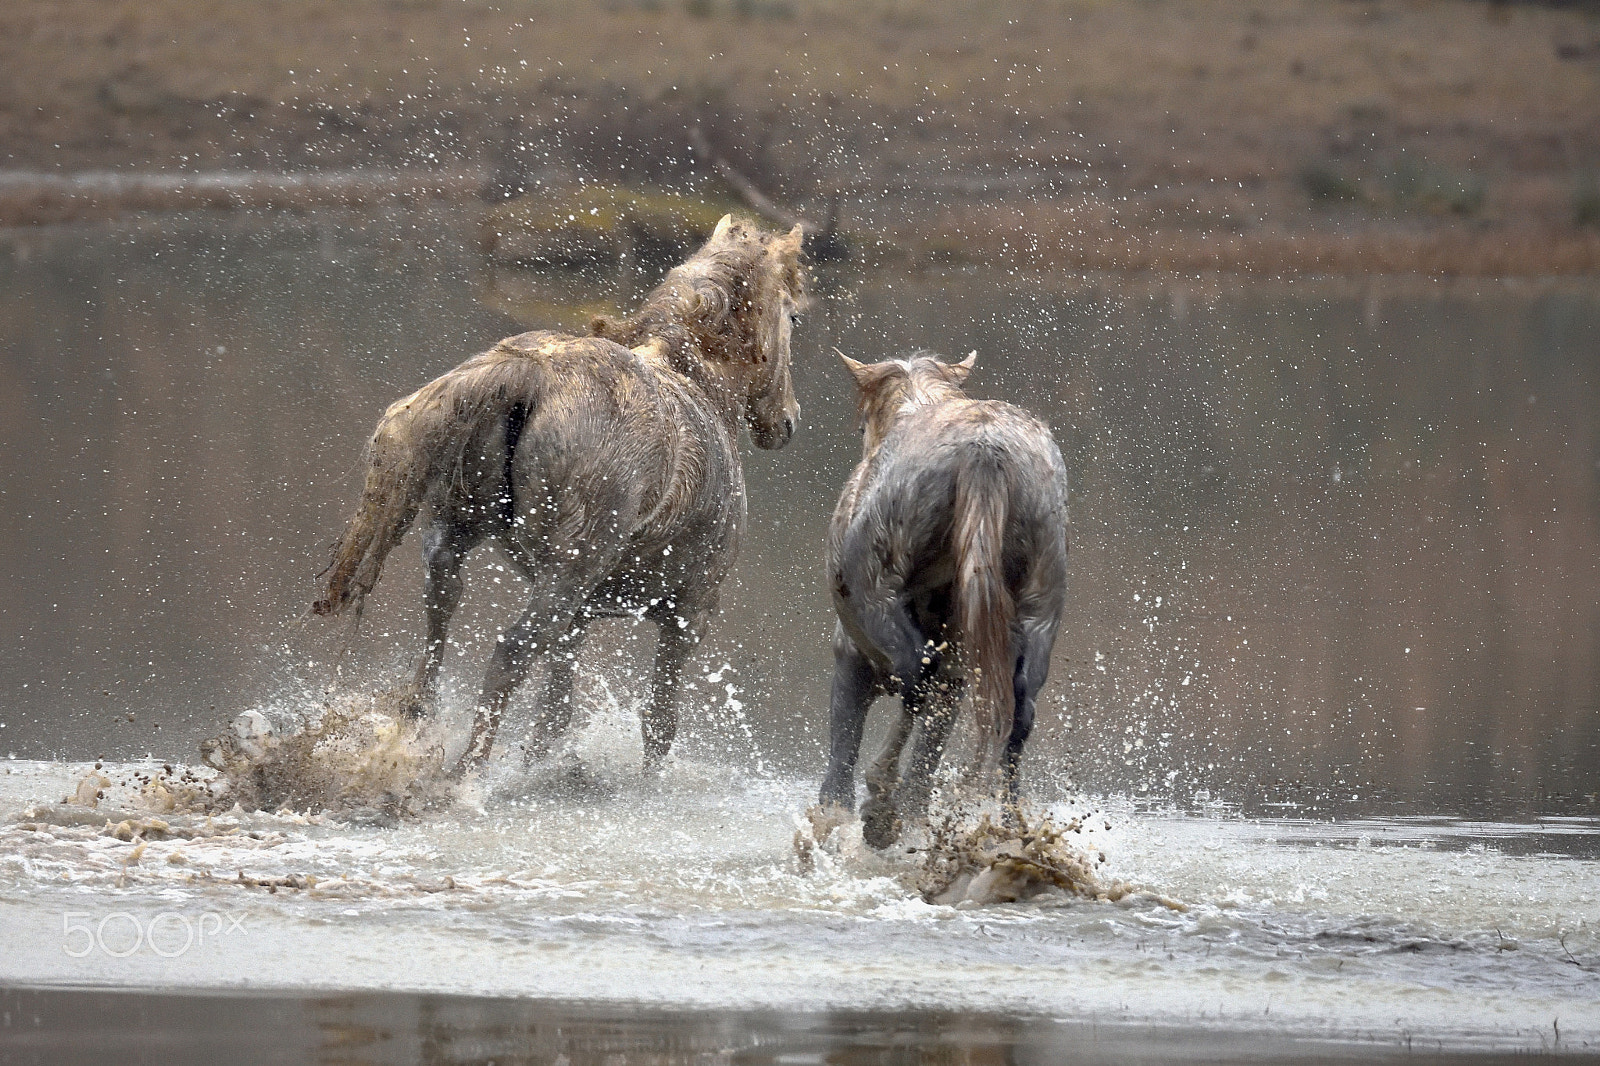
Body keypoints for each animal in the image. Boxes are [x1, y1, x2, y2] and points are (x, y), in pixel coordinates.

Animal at [310, 216, 806, 777]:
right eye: (793, 315)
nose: (787, 421)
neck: (701, 389)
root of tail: (530, 373)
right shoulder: (690, 613)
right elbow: (657, 723)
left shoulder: (582, 616)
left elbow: (555, 713)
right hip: (561, 578)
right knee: (509, 653)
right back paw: (466, 774)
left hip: (455, 535)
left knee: (441, 614)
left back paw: (414, 725)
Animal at [819, 348, 1068, 845]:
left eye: (861, 425)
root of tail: (984, 451)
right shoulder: (957, 677)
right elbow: (928, 752)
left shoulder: (850, 654)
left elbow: (842, 757)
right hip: (1039, 611)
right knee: (1019, 712)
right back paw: (1009, 825)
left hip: (881, 598)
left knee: (916, 676)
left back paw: (882, 801)